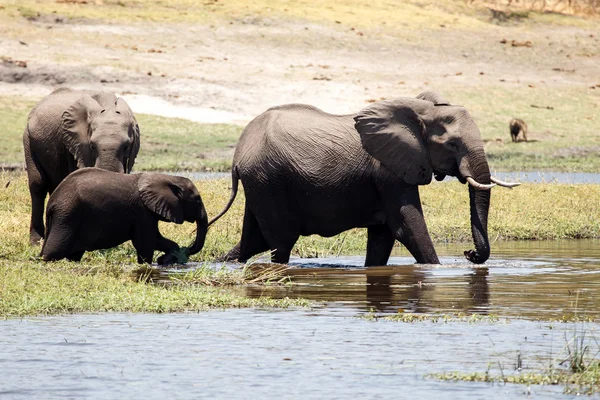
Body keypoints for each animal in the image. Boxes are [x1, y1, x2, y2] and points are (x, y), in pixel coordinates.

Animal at [23, 87, 141, 244]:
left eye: (127, 146)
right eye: (91, 146)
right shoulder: (74, 145)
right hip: (29, 140)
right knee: (38, 185)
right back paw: (36, 242)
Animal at [41, 167, 207, 264]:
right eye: (198, 200)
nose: (186, 250)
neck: (168, 178)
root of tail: (52, 203)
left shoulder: (147, 213)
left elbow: (156, 239)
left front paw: (166, 258)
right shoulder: (142, 211)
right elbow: (145, 243)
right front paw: (148, 265)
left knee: (74, 254)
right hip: (67, 216)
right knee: (53, 251)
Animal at [212, 90, 520, 266]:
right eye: (453, 145)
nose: (468, 254)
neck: (421, 110)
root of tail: (238, 153)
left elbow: (383, 236)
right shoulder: (388, 170)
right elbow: (407, 226)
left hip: (261, 183)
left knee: (255, 241)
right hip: (269, 180)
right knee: (280, 242)